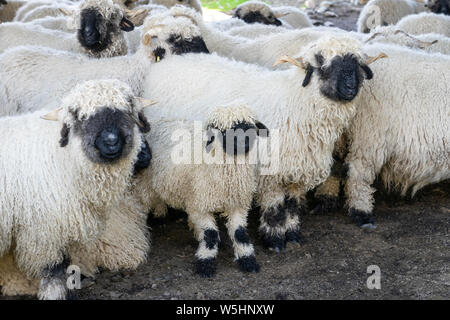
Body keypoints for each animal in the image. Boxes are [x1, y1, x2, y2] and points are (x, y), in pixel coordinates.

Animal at [0, 79, 151, 298]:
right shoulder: (43, 229)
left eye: (127, 110)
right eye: (81, 116)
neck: (64, 157)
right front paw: (54, 293)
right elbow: (53, 268)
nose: (112, 142)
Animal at [142, 35, 386, 250]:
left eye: (357, 65)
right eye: (322, 66)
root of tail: (168, 62)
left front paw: (293, 236)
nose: (350, 88)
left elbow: (292, 207)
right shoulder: (270, 174)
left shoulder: (297, 171)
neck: (295, 104)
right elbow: (275, 210)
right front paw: (274, 241)